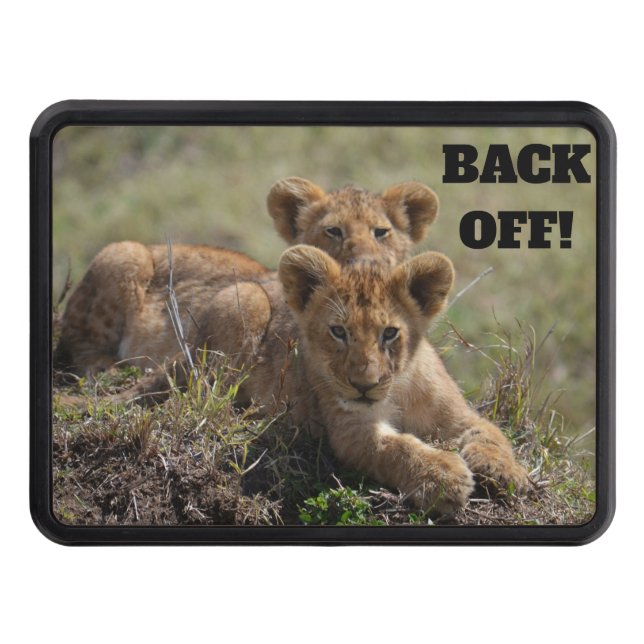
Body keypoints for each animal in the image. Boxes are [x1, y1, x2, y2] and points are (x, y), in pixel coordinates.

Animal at [57, 243, 530, 513]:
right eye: (338, 332)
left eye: (390, 333)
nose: (363, 384)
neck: (396, 390)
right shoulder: (351, 433)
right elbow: (396, 448)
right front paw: (444, 477)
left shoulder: (458, 417)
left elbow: (492, 434)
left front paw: (508, 473)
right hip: (240, 298)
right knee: (203, 394)